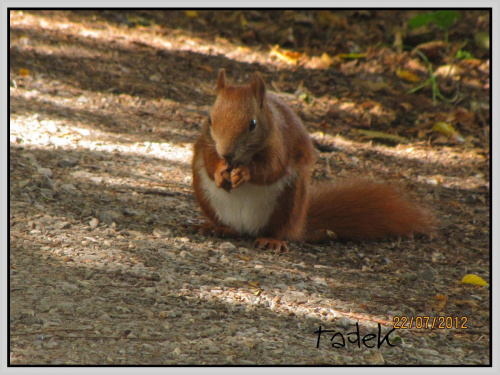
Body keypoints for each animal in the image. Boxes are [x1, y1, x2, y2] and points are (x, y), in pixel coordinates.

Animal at [191, 70, 434, 253]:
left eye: (252, 124)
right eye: (210, 119)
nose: (227, 154)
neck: (242, 157)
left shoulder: (279, 143)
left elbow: (272, 168)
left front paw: (245, 173)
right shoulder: (206, 142)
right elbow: (209, 159)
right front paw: (220, 171)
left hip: (290, 199)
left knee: (277, 229)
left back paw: (271, 240)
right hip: (205, 194)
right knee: (228, 223)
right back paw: (220, 229)